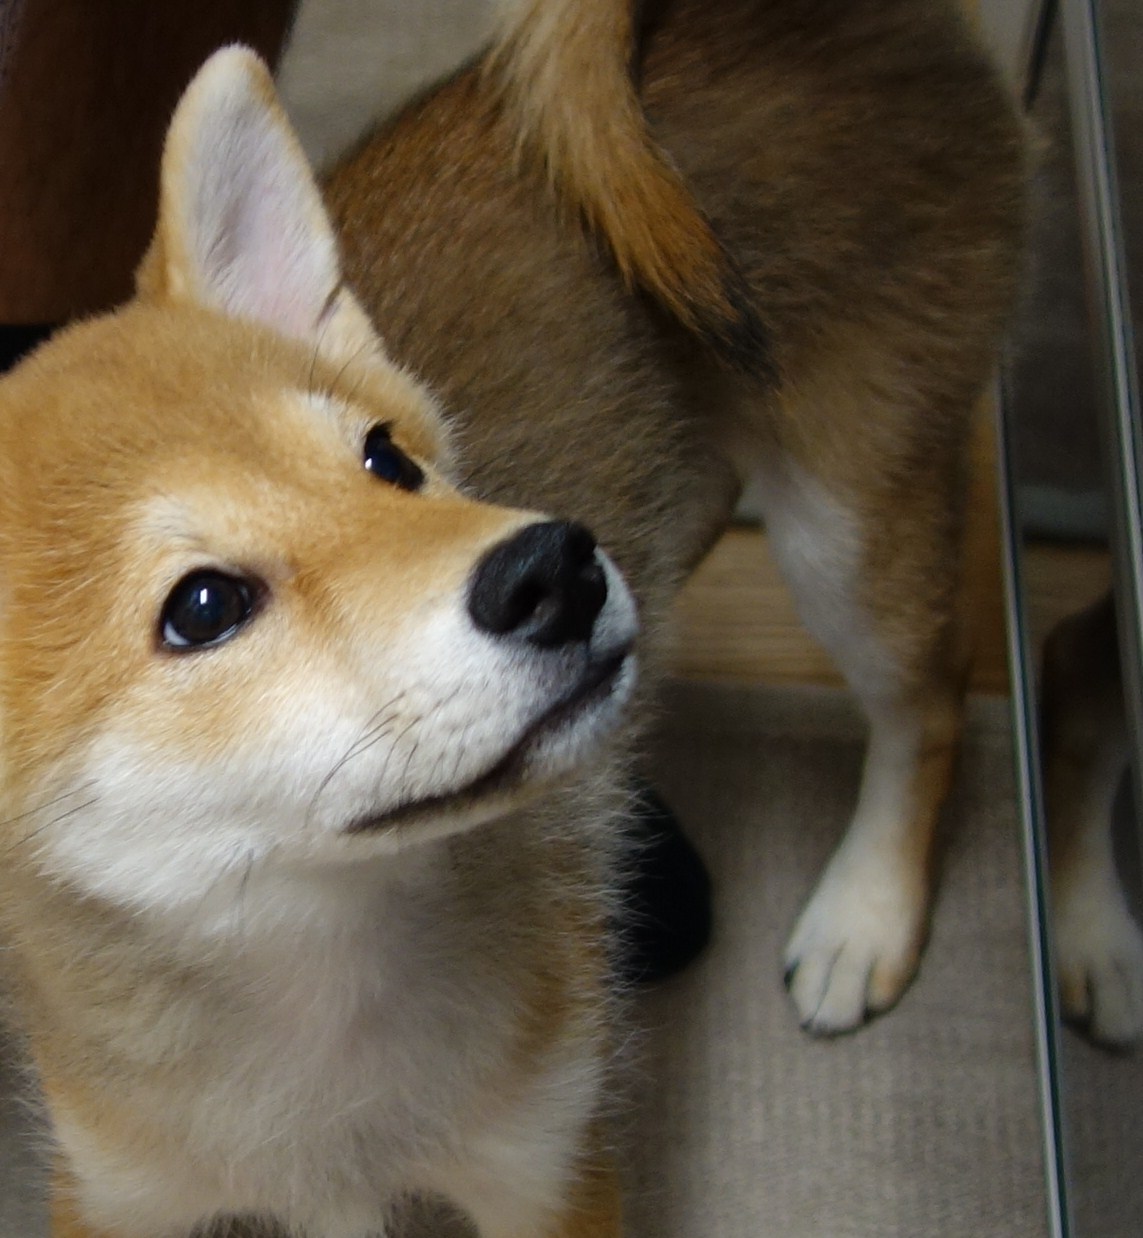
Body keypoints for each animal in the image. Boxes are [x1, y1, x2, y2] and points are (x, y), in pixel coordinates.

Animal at [0, 0, 1025, 1233]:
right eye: (204, 606)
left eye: (388, 461)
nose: (554, 567)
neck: (312, 1005)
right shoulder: (120, 1193)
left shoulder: (550, 1166)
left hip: (847, 533)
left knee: (929, 707)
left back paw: (863, 916)